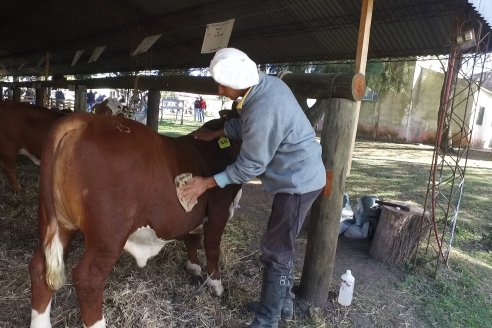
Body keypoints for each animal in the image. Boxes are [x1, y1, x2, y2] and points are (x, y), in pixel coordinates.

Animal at [29, 113, 242, 328]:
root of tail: (84, 120)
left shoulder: (195, 214)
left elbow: (193, 239)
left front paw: (194, 266)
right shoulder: (219, 211)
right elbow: (212, 248)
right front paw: (216, 285)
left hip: (58, 225)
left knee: (40, 268)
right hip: (108, 238)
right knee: (88, 280)